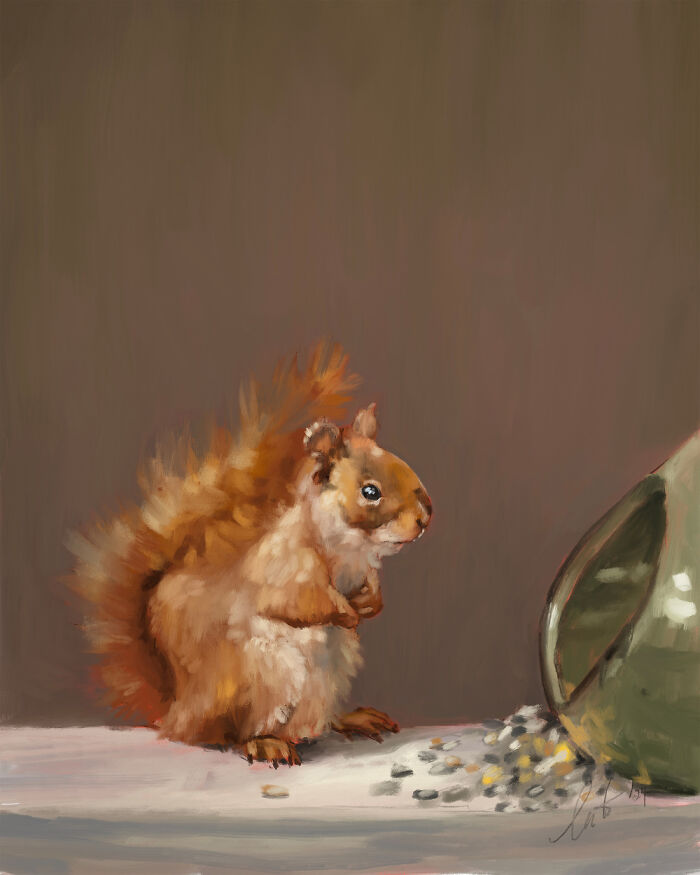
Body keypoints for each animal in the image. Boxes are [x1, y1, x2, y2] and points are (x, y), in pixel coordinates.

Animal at [68, 343, 432, 766]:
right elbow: (301, 601)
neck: (349, 548)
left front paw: (370, 604)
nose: (425, 517)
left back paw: (350, 719)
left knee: (317, 723)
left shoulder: (361, 571)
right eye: (369, 491)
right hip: (260, 679)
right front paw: (346, 613)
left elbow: (368, 589)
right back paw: (266, 742)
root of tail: (178, 713)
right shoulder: (282, 567)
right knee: (230, 733)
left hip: (331, 675)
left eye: (403, 465)